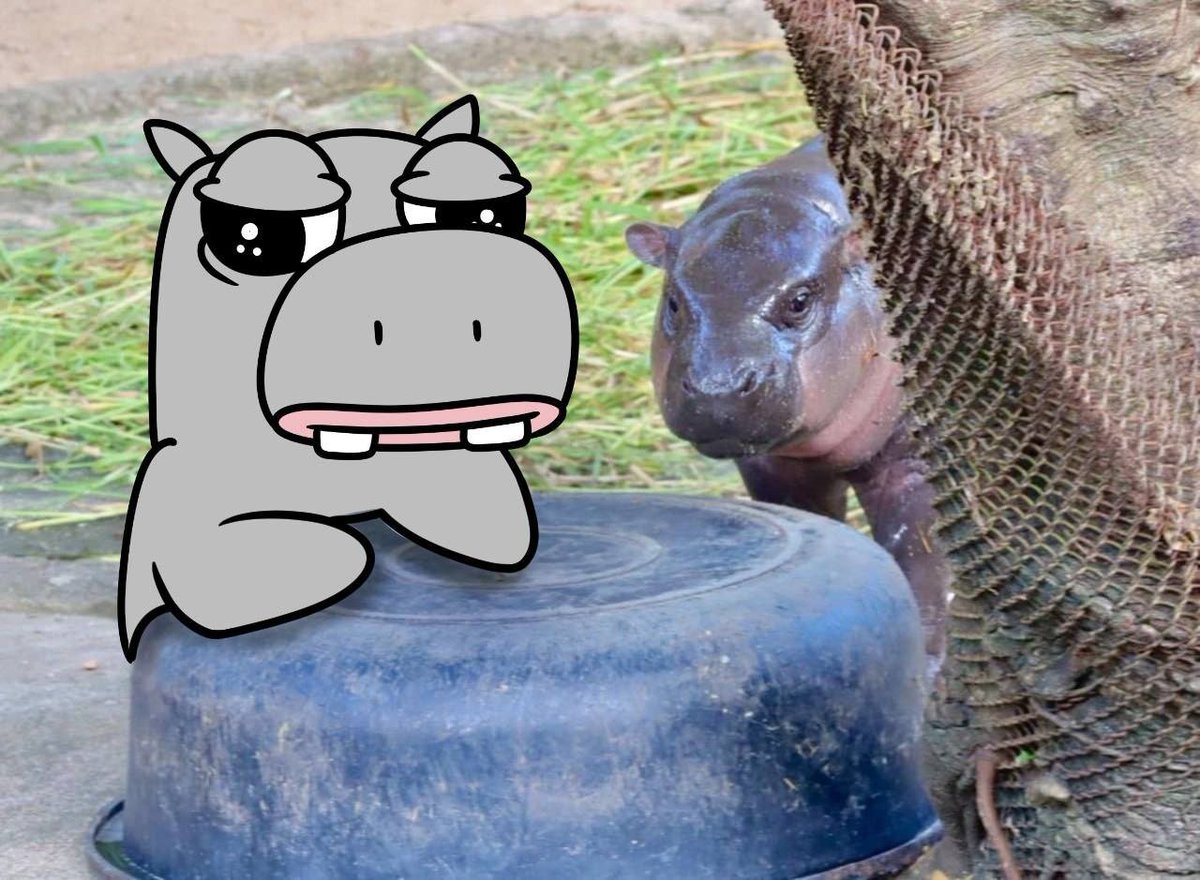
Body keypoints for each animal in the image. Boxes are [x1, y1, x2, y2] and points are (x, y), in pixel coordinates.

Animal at [625, 136, 949, 678]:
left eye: (799, 300)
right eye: (672, 301)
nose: (718, 384)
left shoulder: (912, 459)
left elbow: (922, 557)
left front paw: (926, 669)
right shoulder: (774, 466)